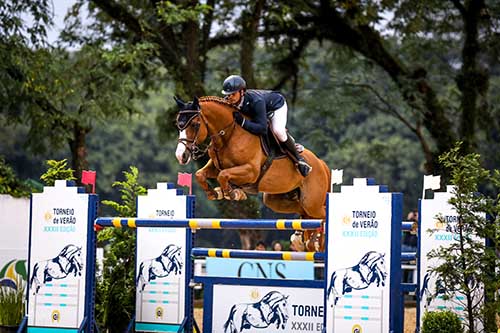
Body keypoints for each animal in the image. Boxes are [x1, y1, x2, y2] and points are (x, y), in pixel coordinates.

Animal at [174, 95, 330, 249]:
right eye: (178, 125)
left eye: (195, 124)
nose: (181, 156)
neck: (230, 134)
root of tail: (321, 164)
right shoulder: (215, 165)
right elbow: (200, 174)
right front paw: (215, 193)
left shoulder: (251, 171)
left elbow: (223, 175)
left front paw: (232, 193)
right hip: (278, 200)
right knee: (304, 212)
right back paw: (304, 240)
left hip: (311, 202)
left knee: (321, 213)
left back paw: (316, 241)